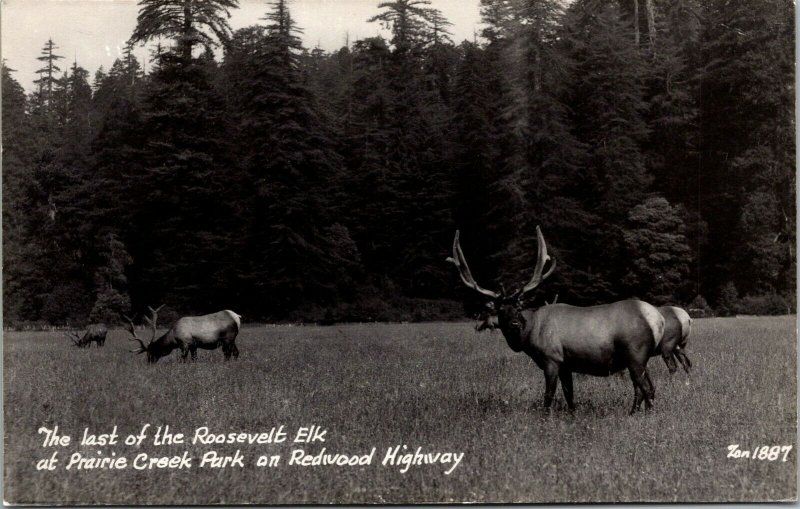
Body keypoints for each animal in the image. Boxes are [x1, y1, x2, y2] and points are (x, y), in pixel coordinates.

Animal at [450, 226, 664, 412]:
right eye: (501, 310)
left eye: (518, 307)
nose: (515, 324)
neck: (530, 334)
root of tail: (657, 320)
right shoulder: (566, 364)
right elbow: (569, 395)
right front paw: (572, 415)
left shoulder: (551, 358)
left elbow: (549, 395)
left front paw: (545, 418)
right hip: (639, 359)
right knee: (646, 388)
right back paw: (633, 413)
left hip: (635, 354)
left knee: (645, 388)